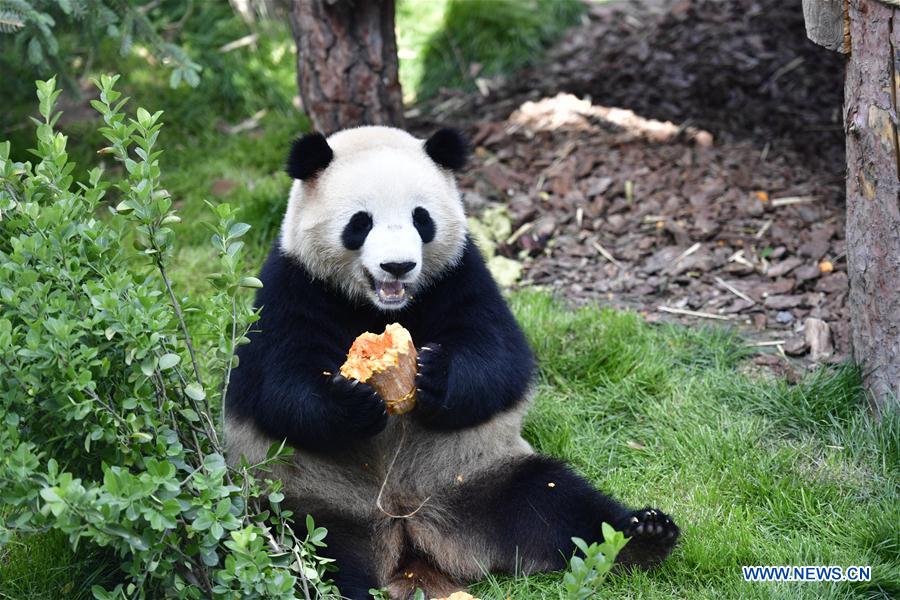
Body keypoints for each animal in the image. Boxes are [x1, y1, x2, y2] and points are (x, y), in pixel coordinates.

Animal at [223, 126, 676, 600]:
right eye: (360, 222)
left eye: (421, 218)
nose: (398, 266)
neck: (379, 307)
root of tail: (408, 534)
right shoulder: (292, 285)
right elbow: (277, 387)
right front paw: (353, 403)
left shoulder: (459, 273)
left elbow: (500, 357)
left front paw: (435, 377)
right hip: (306, 502)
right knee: (299, 553)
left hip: (476, 476)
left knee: (556, 503)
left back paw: (641, 538)